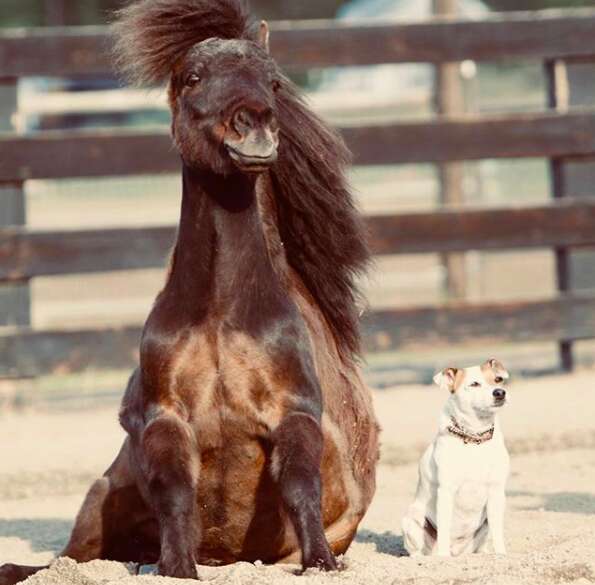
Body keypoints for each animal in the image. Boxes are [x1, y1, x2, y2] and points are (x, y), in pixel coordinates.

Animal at [402, 358, 510, 556]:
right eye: (474, 384)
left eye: (498, 379)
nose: (500, 393)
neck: (475, 437)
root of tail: (457, 550)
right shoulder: (446, 490)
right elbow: (444, 528)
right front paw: (444, 558)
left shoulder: (496, 491)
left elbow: (498, 531)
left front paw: (501, 554)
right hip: (411, 520)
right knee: (416, 551)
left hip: (482, 528)